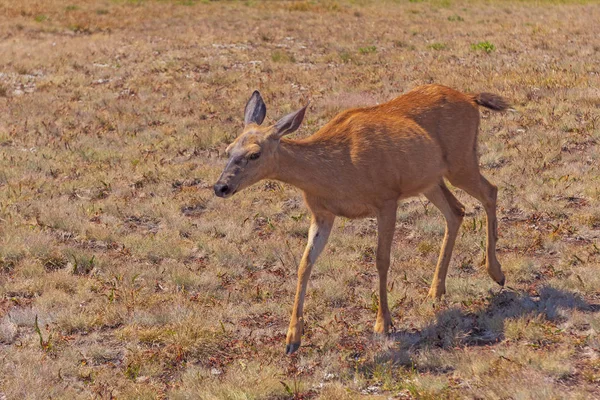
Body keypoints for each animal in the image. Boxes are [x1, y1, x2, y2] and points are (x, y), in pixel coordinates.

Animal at [213, 84, 508, 354]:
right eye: (228, 149)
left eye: (255, 153)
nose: (220, 187)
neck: (334, 169)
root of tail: (470, 97)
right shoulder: (322, 213)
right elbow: (304, 263)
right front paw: (292, 338)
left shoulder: (386, 199)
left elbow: (381, 260)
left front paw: (383, 323)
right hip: (430, 180)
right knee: (456, 211)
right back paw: (436, 290)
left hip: (461, 161)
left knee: (490, 192)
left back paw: (496, 273)